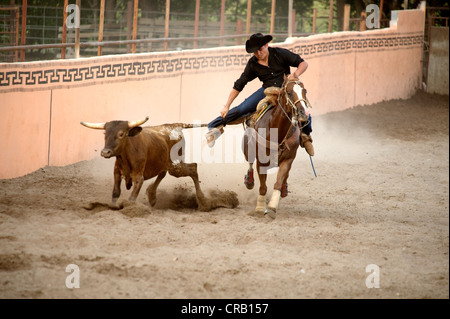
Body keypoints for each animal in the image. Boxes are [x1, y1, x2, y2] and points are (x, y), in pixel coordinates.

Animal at [79, 116, 211, 211]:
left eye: (121, 134)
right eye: (105, 134)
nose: (105, 152)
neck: (126, 155)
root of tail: (174, 125)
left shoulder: (138, 176)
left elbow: (132, 197)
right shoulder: (116, 172)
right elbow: (116, 192)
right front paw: (113, 206)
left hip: (176, 166)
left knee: (193, 167)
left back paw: (204, 202)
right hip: (165, 163)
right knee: (163, 173)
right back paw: (152, 196)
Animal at [241, 75, 312, 220]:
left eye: (305, 91)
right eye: (289, 93)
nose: (304, 113)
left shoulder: (288, 159)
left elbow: (278, 182)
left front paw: (272, 207)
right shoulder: (261, 162)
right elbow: (263, 186)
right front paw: (259, 208)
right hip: (247, 150)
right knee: (250, 163)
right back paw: (249, 181)